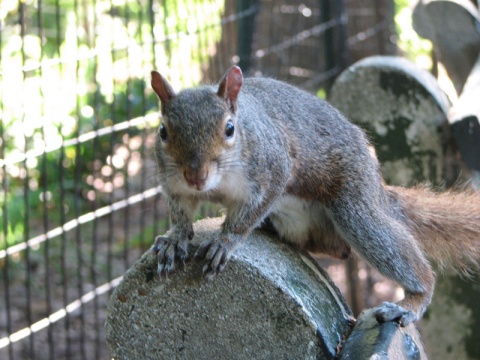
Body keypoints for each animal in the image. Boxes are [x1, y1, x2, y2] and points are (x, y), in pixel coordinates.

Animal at [150, 65, 480, 326]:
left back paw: (412, 300)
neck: (217, 185)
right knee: (335, 249)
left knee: (390, 247)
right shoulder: (174, 185)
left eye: (229, 128)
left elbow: (250, 212)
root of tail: (378, 190)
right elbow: (181, 213)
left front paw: (225, 241)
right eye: (163, 132)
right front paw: (175, 238)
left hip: (354, 206)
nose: (196, 176)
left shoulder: (273, 168)